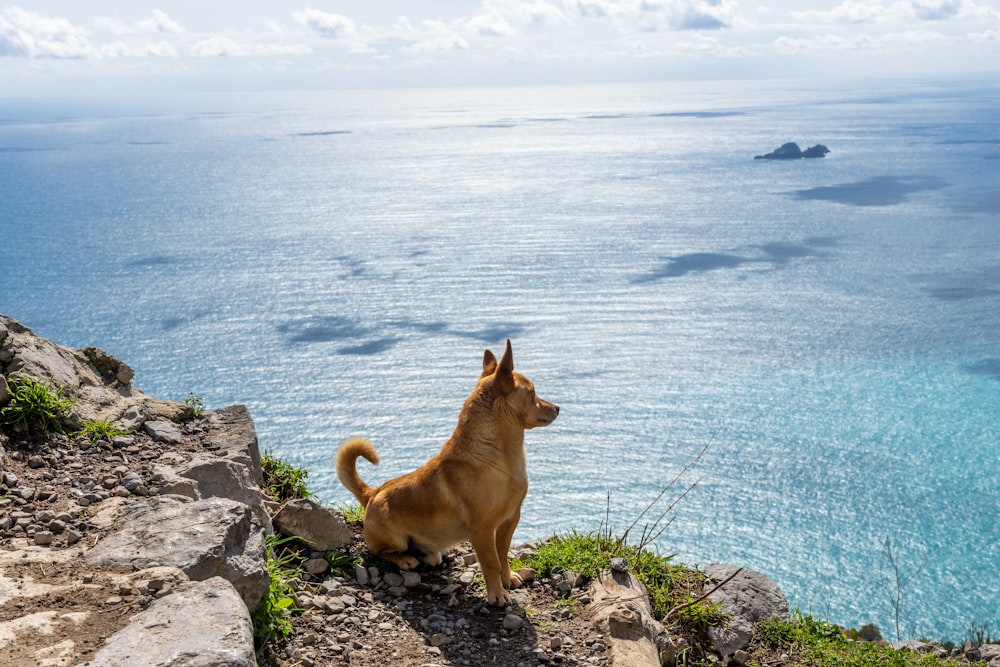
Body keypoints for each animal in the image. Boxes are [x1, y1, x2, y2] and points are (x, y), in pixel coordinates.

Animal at [334, 342, 556, 608]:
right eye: (533, 393)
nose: (558, 408)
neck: (500, 457)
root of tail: (372, 494)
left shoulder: (510, 519)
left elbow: (502, 553)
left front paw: (507, 578)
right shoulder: (482, 530)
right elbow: (490, 562)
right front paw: (497, 594)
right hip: (394, 539)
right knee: (380, 552)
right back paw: (405, 559)